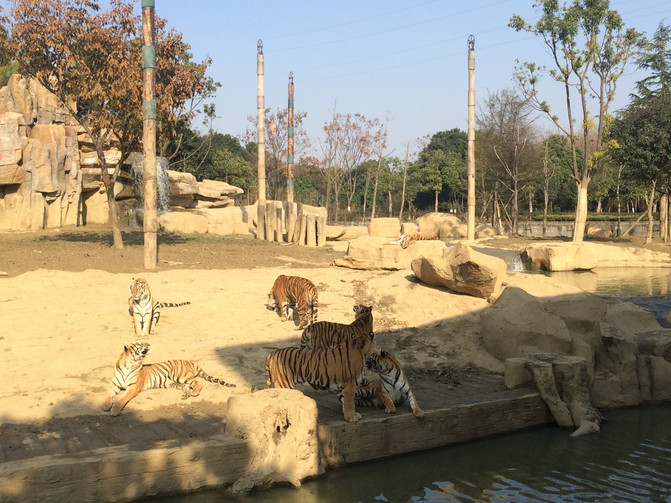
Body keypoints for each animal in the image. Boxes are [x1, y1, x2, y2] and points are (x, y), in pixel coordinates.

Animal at [101, 342, 235, 418]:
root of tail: (190, 362)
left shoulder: (133, 388)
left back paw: (195, 392)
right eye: (139, 344)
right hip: (175, 383)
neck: (129, 364)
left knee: (198, 382)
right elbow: (107, 393)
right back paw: (186, 395)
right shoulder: (114, 385)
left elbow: (122, 399)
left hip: (181, 377)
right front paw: (105, 405)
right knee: (187, 387)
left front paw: (114, 410)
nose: (149, 345)